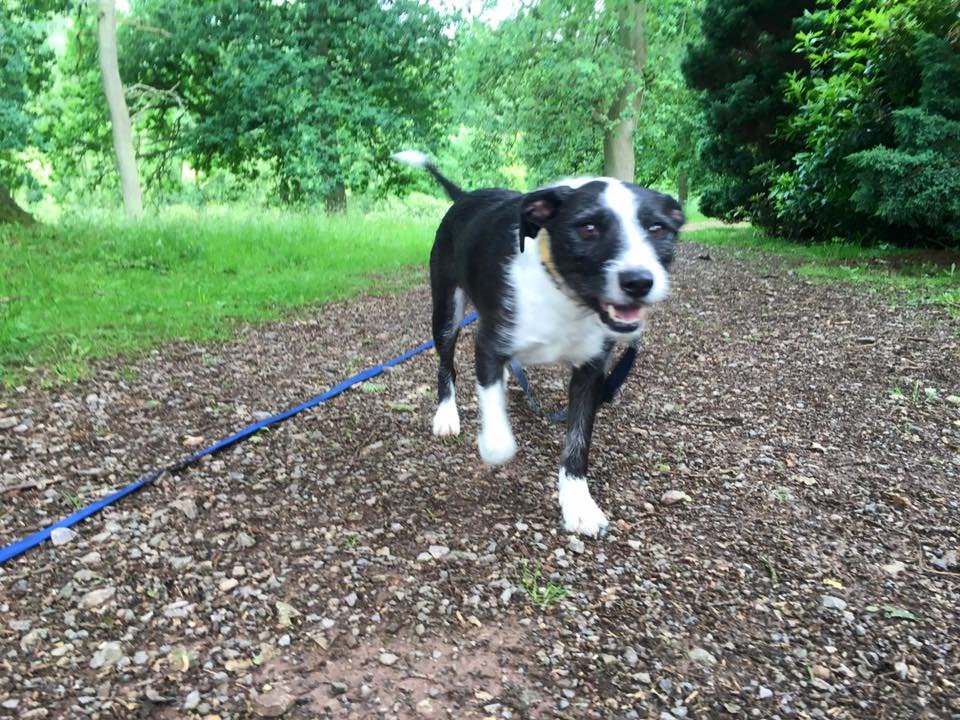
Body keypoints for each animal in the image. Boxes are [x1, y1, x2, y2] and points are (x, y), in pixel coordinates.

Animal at [392, 150, 684, 536]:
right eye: (588, 228)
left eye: (658, 229)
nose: (638, 281)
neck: (564, 295)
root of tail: (465, 196)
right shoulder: (490, 344)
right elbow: (499, 440)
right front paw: (490, 440)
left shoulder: (591, 370)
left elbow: (577, 441)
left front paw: (578, 504)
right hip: (446, 309)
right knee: (446, 362)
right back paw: (446, 415)